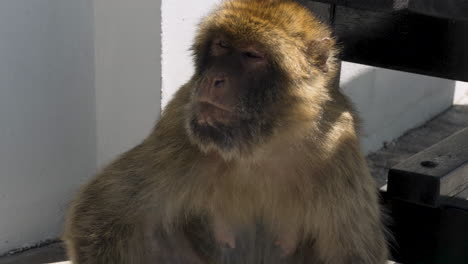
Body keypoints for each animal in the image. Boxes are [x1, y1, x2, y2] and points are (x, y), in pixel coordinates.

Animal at [65, 0, 388, 264]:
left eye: (252, 55)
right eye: (221, 45)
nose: (213, 78)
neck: (262, 146)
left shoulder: (337, 149)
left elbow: (353, 253)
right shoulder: (179, 129)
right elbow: (103, 213)